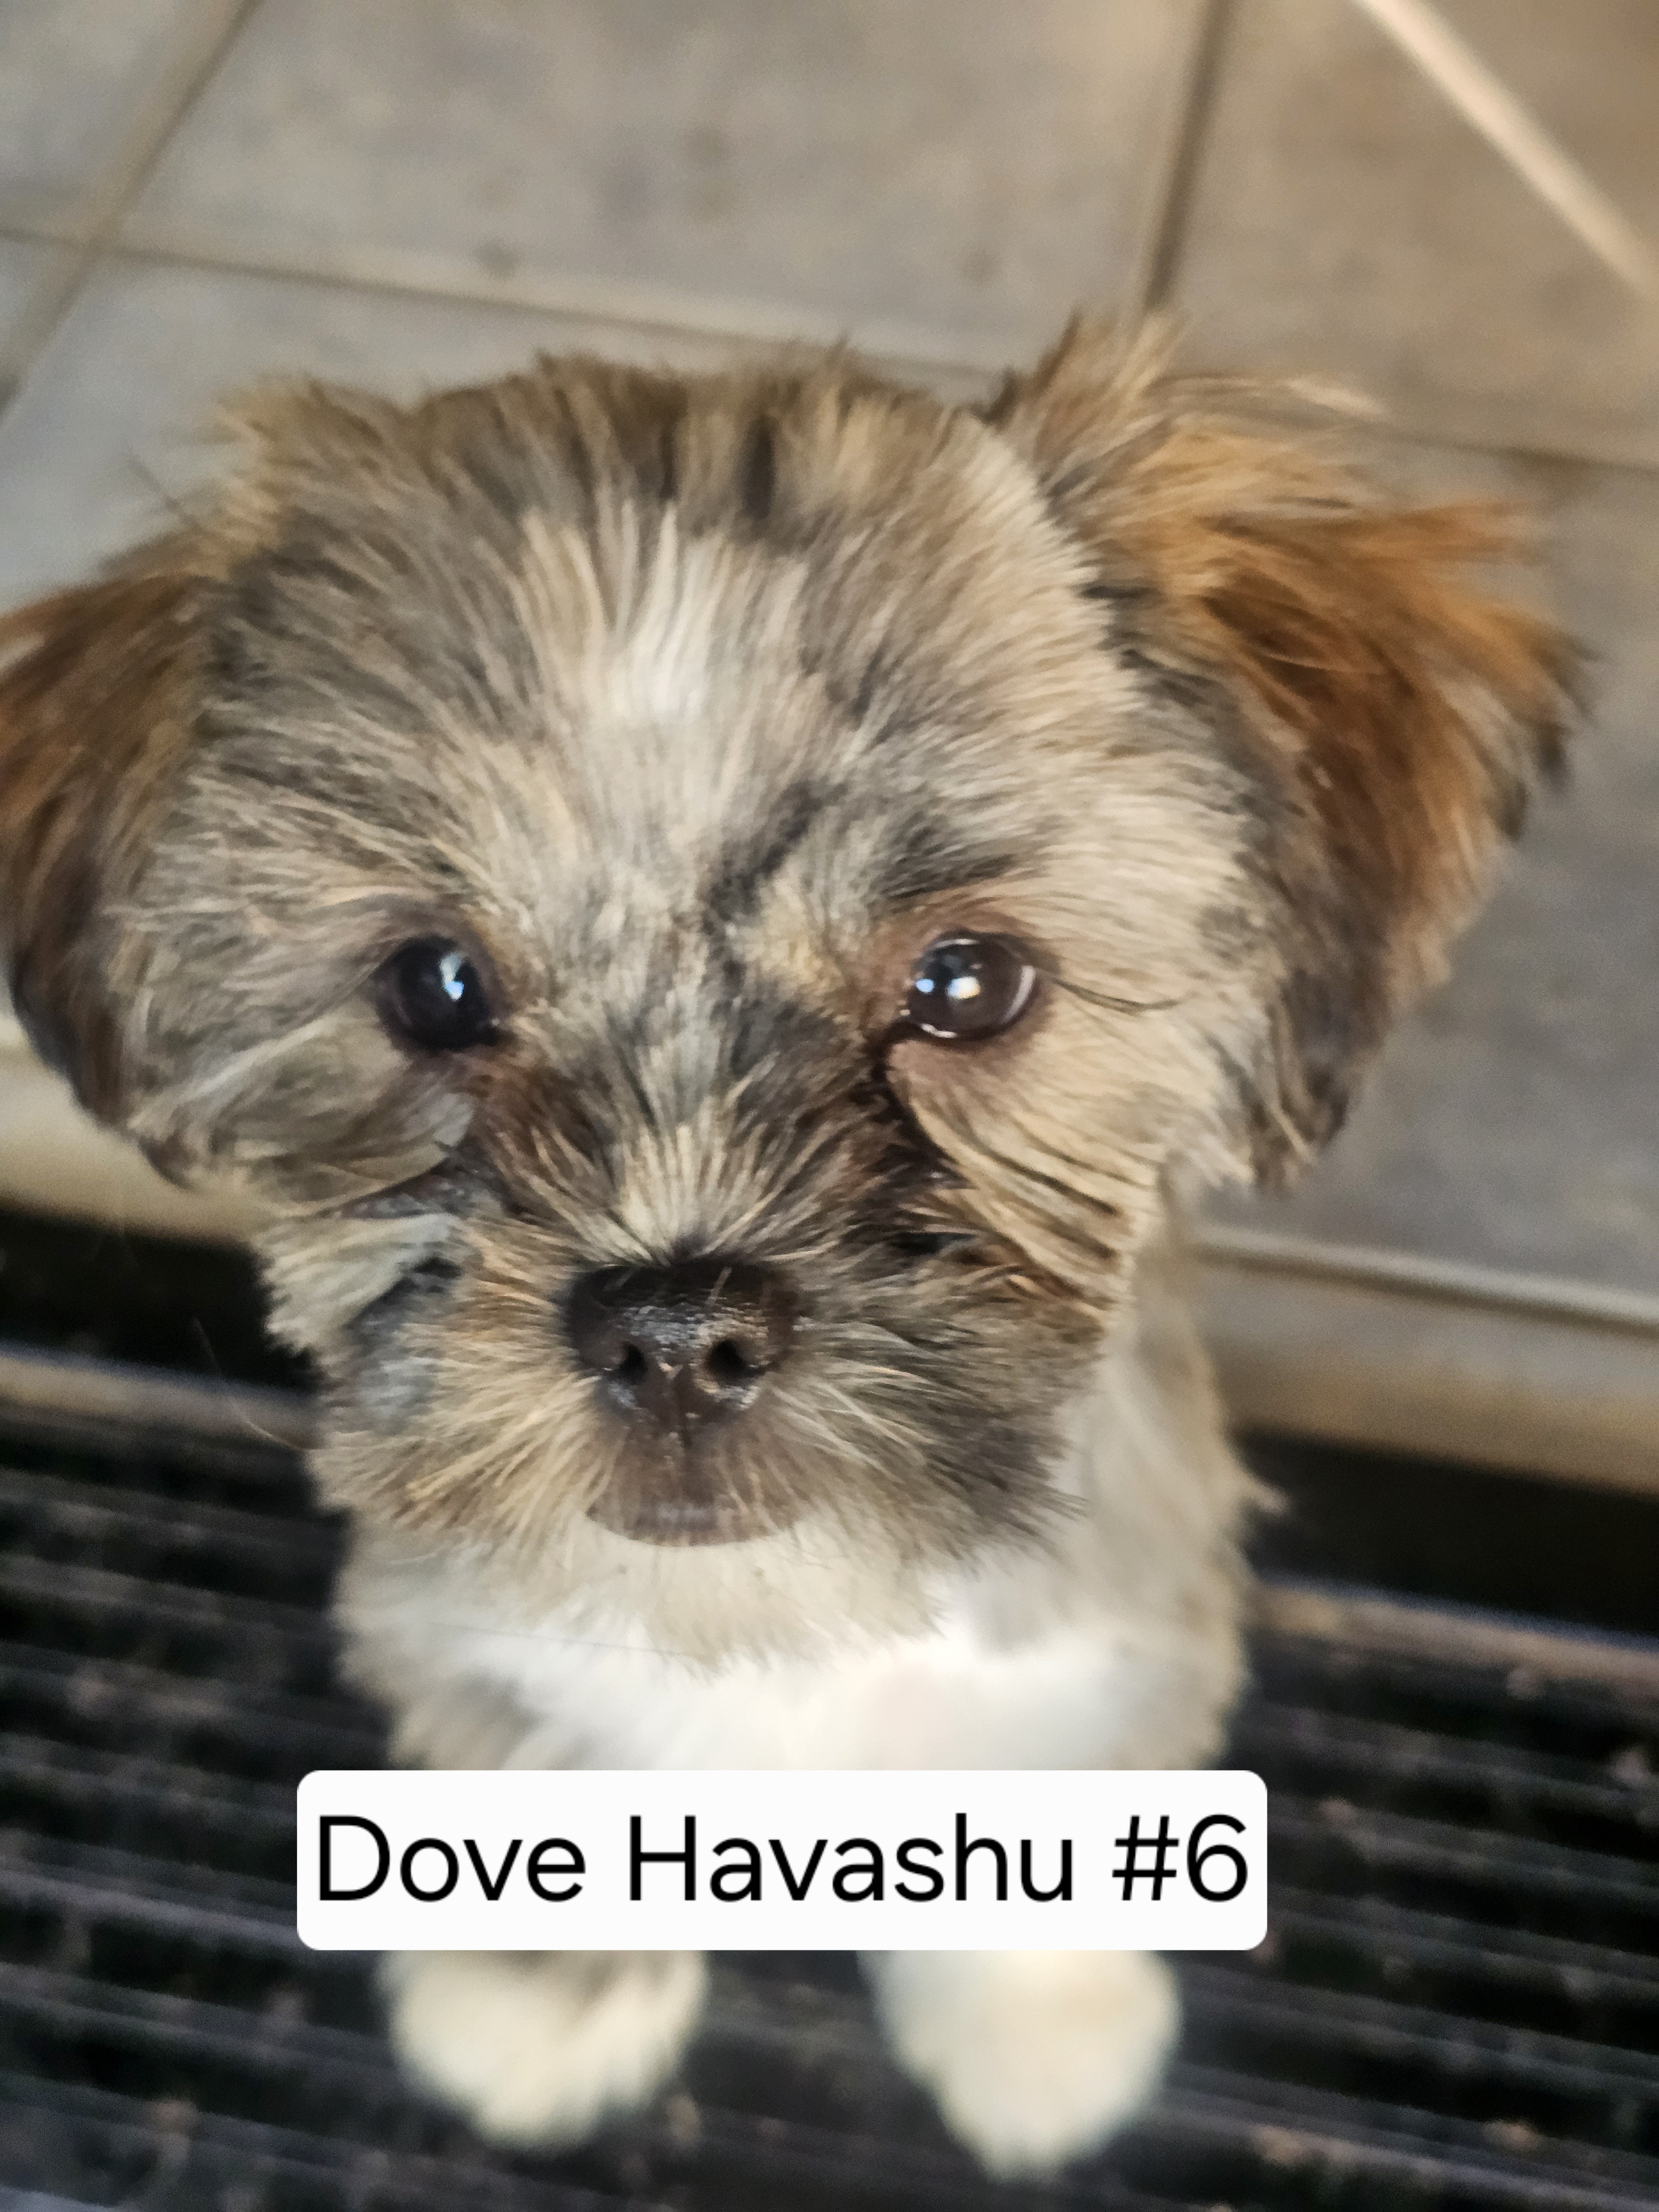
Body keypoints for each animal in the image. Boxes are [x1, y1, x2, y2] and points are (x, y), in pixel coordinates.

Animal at [0, 321, 1570, 2174]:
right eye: (435, 986)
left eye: (969, 982)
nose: (679, 1327)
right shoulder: (451, 1626)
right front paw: (542, 2001)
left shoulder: (1129, 1628)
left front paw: (1035, 2021)